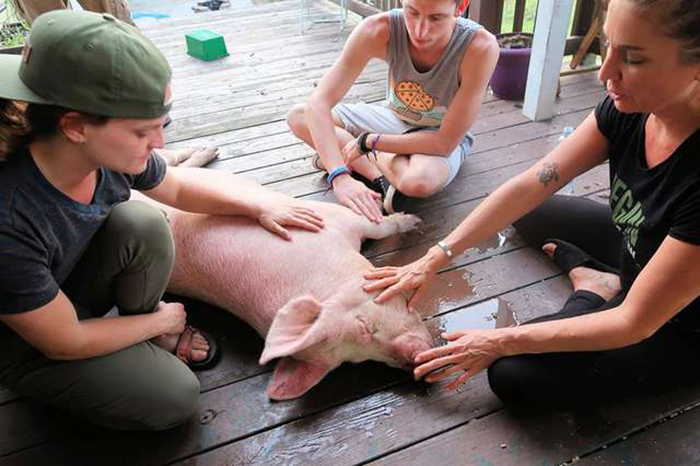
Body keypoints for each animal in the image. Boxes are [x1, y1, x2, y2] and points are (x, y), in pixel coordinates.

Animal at [131, 180, 432, 398]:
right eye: (359, 358)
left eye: (364, 325)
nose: (417, 363)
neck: (329, 276)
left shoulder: (330, 219)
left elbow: (377, 227)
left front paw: (415, 221)